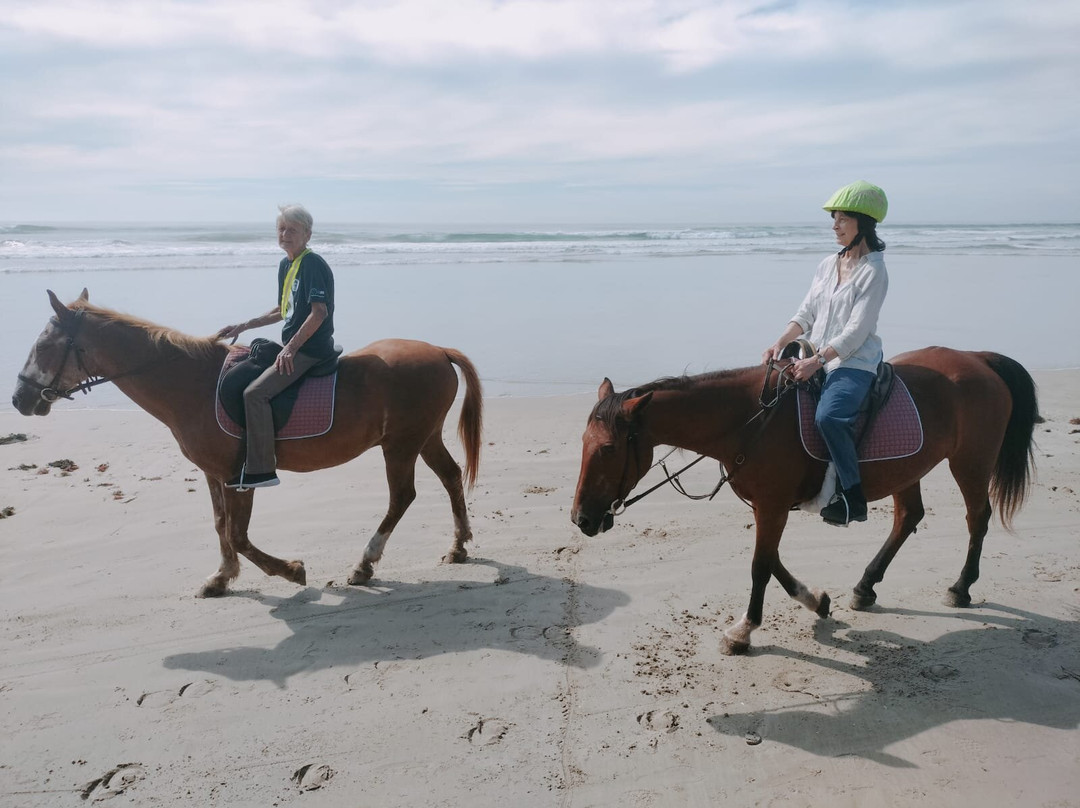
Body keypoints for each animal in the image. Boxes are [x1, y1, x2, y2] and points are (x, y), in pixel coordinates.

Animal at [12, 290, 483, 598]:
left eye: (45, 345)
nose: (18, 399)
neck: (193, 383)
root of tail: (438, 350)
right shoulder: (215, 474)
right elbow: (221, 527)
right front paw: (222, 577)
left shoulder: (241, 476)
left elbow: (237, 535)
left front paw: (290, 571)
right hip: (424, 437)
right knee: (451, 477)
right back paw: (458, 545)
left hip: (401, 445)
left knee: (402, 496)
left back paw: (365, 562)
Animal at [570, 347, 1038, 655]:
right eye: (583, 443)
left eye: (608, 448)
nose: (581, 519)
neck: (748, 420)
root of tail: (978, 358)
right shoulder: (768, 505)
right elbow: (772, 560)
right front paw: (815, 600)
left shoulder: (773, 505)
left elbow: (761, 565)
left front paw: (743, 631)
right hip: (909, 467)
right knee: (908, 517)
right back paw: (865, 586)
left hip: (970, 461)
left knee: (977, 517)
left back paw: (960, 587)